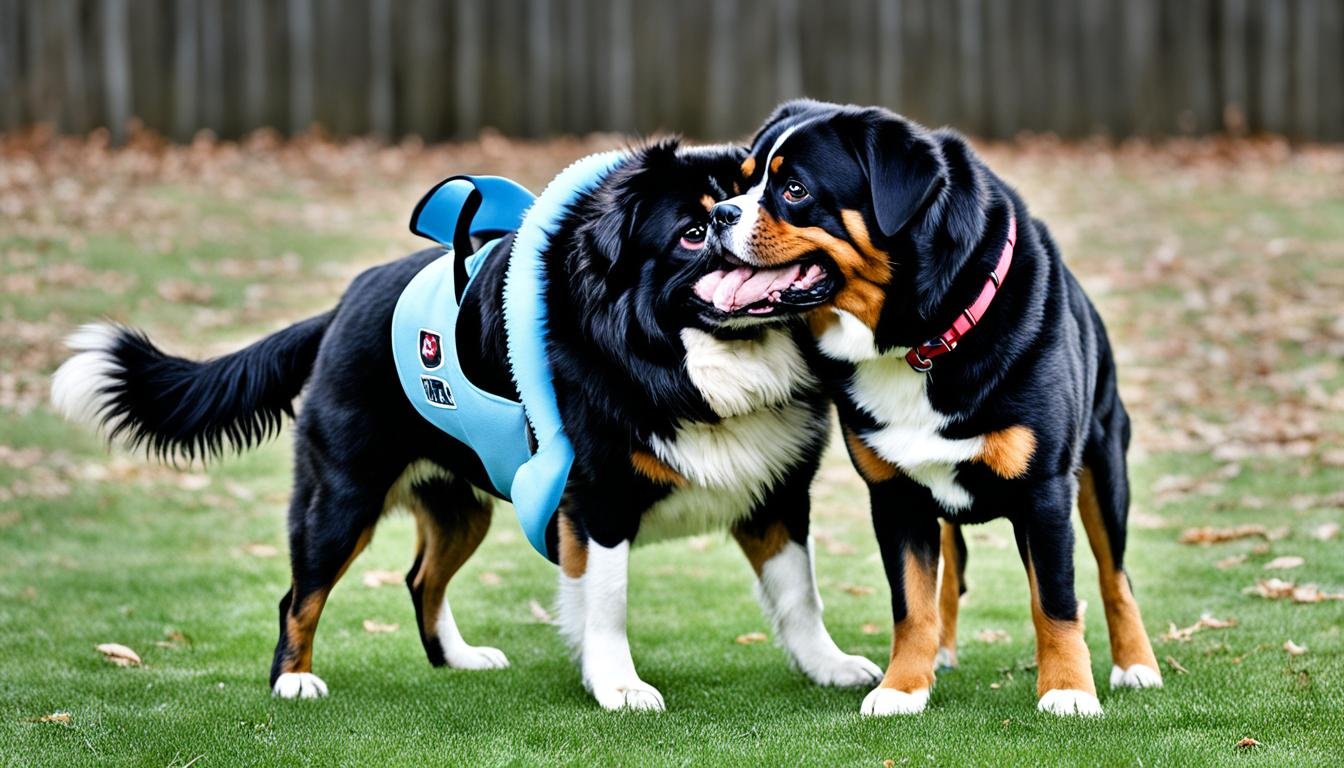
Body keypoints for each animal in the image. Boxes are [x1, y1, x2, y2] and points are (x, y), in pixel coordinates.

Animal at [52, 141, 881, 710]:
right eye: (691, 231)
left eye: (771, 193)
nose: (735, 218)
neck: (678, 358)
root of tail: (348, 298)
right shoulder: (598, 503)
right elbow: (607, 602)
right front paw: (618, 686)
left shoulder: (777, 495)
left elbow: (800, 595)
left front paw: (829, 667)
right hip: (341, 496)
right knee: (301, 594)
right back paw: (294, 682)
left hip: (460, 505)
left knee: (422, 577)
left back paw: (456, 659)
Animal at [704, 100, 1166, 715]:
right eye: (742, 183)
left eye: (794, 189)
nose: (718, 215)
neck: (920, 342)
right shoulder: (895, 494)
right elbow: (913, 603)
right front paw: (902, 688)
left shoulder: (1045, 489)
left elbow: (1055, 600)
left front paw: (1067, 690)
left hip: (1103, 466)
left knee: (1116, 576)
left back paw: (1136, 665)